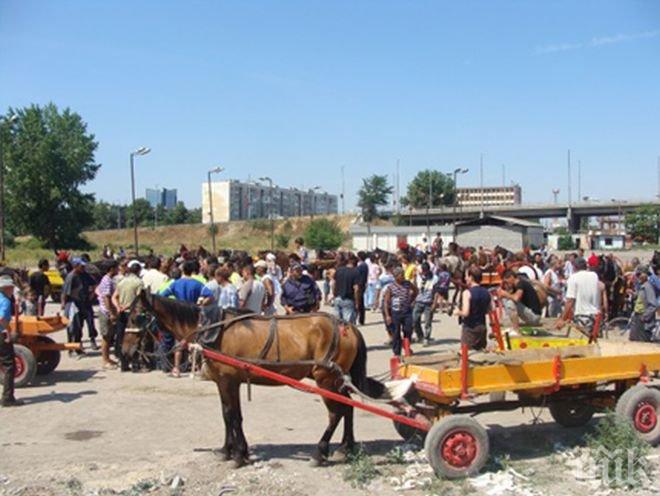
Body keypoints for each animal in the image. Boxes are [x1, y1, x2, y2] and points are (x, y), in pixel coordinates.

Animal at [138, 290, 386, 468]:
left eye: (136, 313)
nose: (132, 352)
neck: (210, 329)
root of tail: (348, 326)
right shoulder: (227, 381)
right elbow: (230, 415)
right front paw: (230, 451)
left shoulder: (227, 380)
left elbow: (231, 415)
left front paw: (238, 455)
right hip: (336, 379)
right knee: (348, 406)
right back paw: (346, 447)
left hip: (325, 378)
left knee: (336, 412)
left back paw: (320, 452)